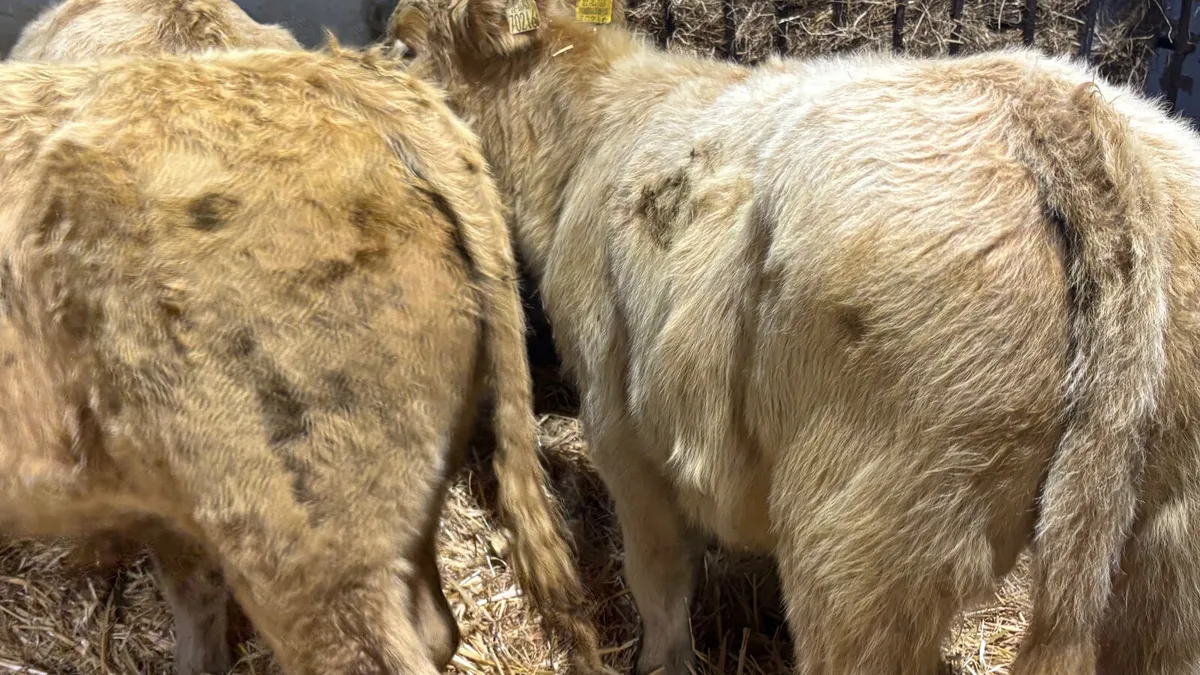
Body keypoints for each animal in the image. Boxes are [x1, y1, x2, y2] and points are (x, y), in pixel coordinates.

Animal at [385, 0, 1200, 673]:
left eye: (402, 48)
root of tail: (1049, 101)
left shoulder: (620, 427)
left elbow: (657, 575)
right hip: (1166, 553)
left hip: (865, 546)